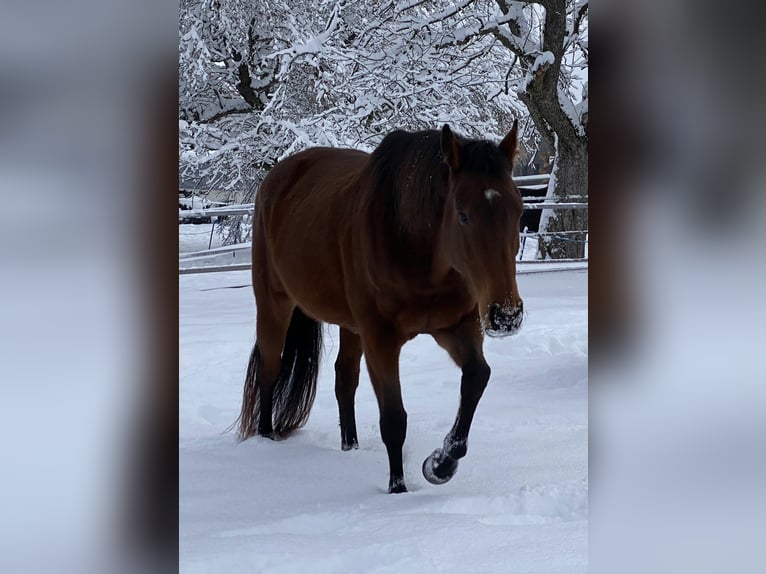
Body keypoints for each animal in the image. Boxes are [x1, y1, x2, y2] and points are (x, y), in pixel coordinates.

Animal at [237, 122, 525, 493]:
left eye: (519, 210)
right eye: (462, 214)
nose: (506, 315)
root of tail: (277, 177)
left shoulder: (457, 327)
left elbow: (477, 376)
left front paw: (441, 463)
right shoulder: (381, 339)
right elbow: (393, 418)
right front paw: (398, 489)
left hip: (350, 326)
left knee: (344, 379)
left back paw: (351, 447)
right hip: (274, 304)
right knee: (270, 372)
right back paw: (267, 441)